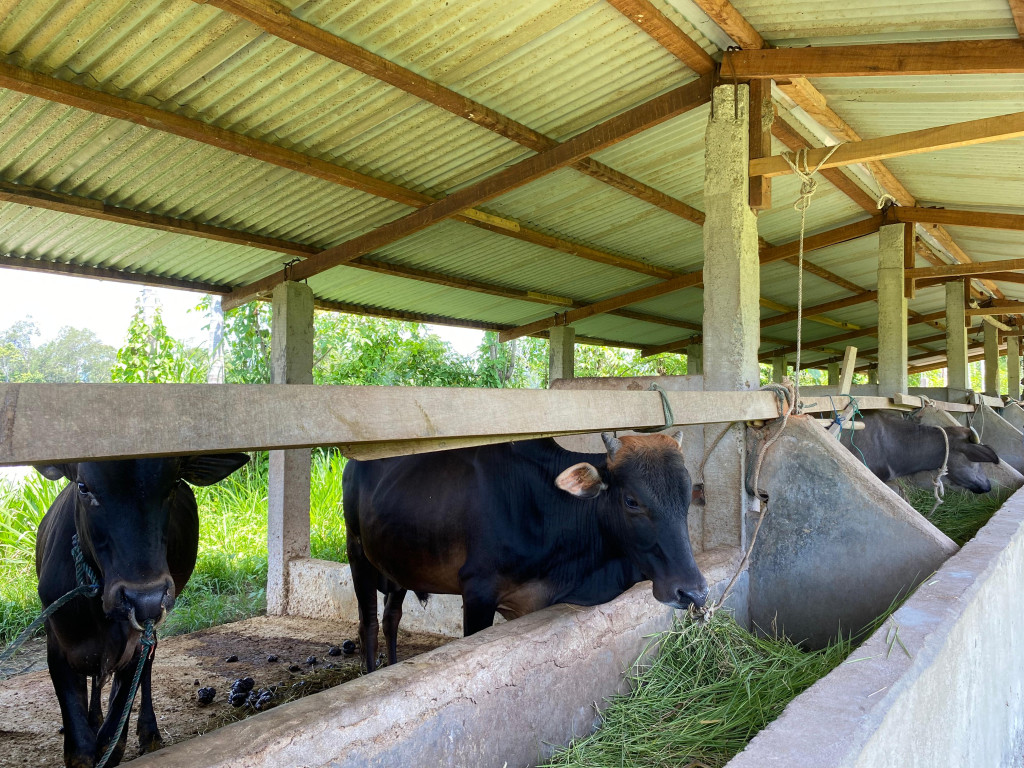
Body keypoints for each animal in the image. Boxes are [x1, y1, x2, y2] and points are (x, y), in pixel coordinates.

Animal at [35, 456, 247, 768]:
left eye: (173, 483)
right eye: (83, 487)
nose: (146, 599)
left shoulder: (134, 645)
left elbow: (111, 742)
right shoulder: (58, 647)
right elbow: (80, 750)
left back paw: (149, 732)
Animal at [339, 434, 708, 671]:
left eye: (686, 497)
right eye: (632, 500)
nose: (693, 592)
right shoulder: (478, 592)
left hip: (396, 567)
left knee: (392, 619)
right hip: (356, 552)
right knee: (369, 624)